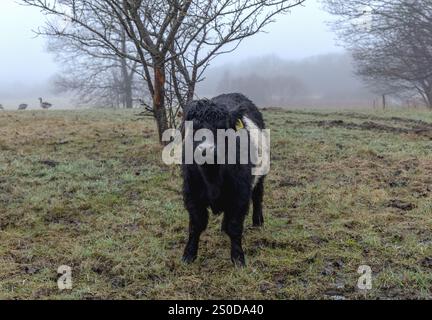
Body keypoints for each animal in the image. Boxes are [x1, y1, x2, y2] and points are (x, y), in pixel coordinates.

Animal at [181, 92, 268, 264]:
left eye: (223, 128)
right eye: (194, 127)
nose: (206, 150)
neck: (212, 176)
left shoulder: (240, 195)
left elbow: (234, 226)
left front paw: (238, 258)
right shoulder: (191, 193)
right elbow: (196, 225)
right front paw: (189, 254)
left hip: (260, 176)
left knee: (257, 197)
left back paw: (258, 222)